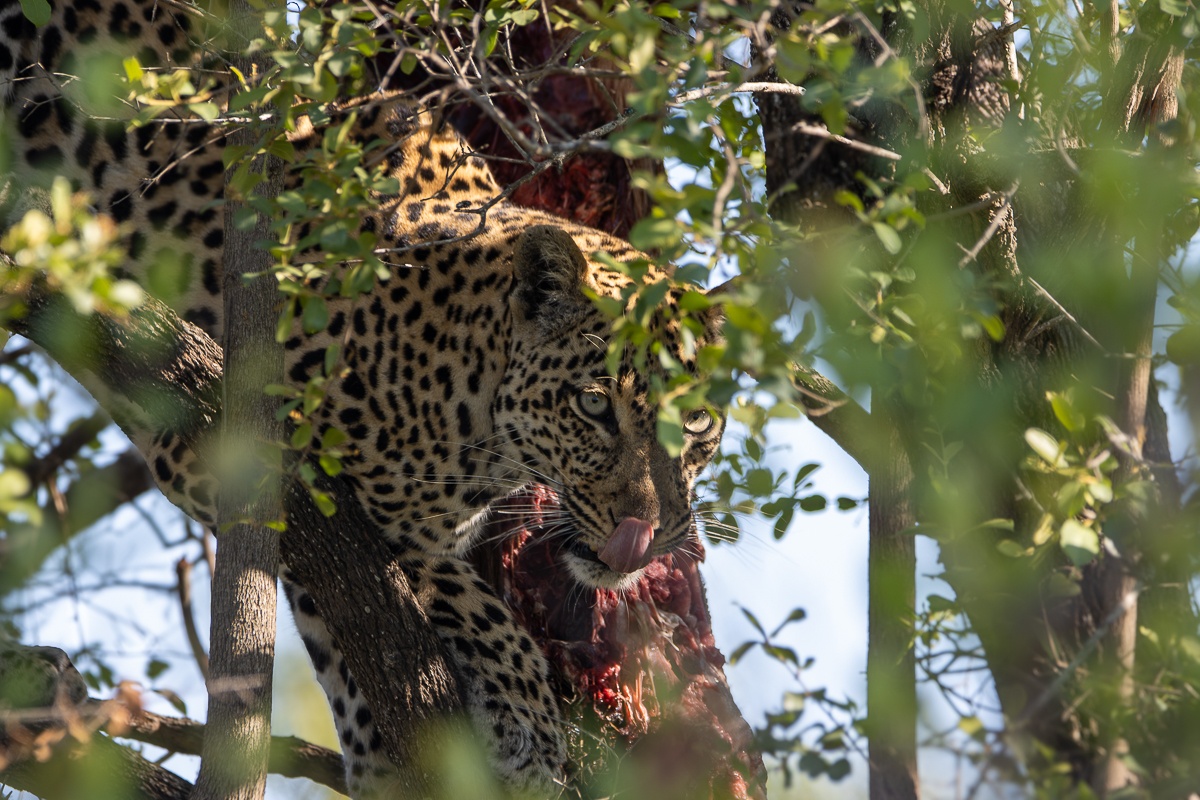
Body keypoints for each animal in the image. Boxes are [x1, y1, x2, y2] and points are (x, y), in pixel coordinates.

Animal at [0, 1, 727, 796]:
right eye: (595, 406)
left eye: (697, 423)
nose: (648, 537)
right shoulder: (210, 449)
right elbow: (420, 577)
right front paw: (524, 710)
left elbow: (346, 634)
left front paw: (383, 757)